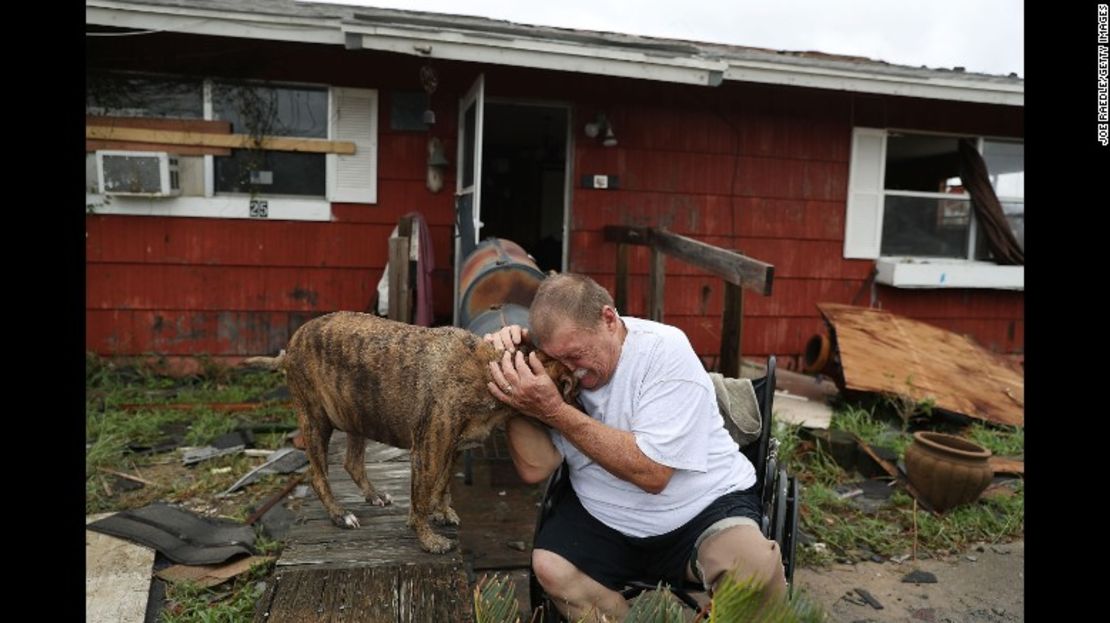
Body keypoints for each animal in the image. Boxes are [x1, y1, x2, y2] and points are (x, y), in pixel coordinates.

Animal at [265, 313, 572, 550]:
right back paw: (340, 515)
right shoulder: (428, 452)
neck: (491, 370)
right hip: (315, 421)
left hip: (356, 414)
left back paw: (374, 495)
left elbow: (442, 485)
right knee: (318, 477)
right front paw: (428, 539)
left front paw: (442, 512)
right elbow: (421, 498)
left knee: (352, 463)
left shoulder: (452, 449)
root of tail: (290, 347)